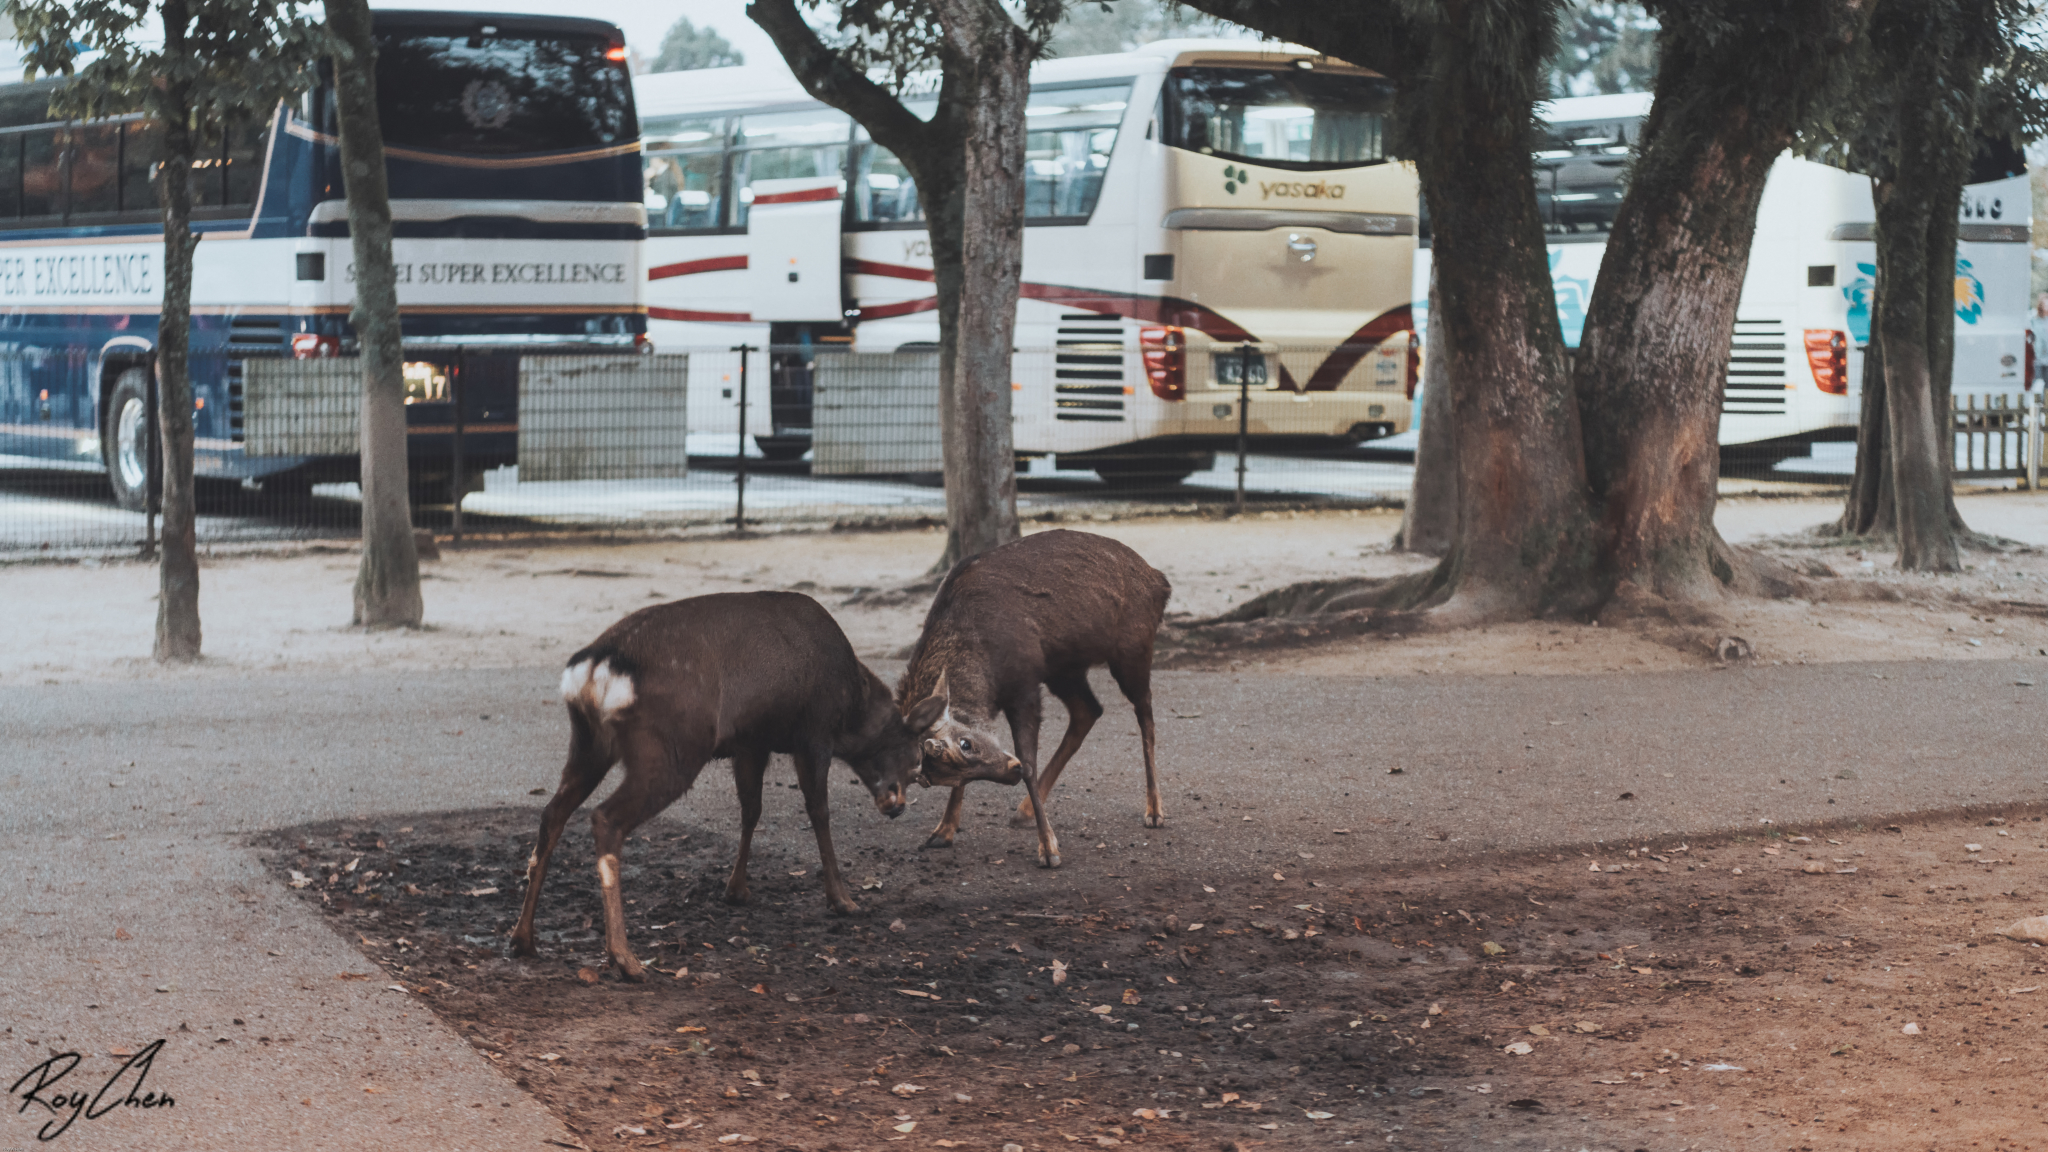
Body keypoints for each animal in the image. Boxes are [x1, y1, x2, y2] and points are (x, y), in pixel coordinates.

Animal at [512, 590, 991, 975]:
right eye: (915, 760)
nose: (895, 806)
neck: (849, 709)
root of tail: (594, 670)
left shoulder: (750, 743)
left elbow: (751, 809)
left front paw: (736, 889)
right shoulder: (811, 733)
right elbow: (818, 811)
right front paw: (843, 899)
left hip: (588, 744)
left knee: (553, 813)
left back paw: (523, 938)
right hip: (671, 748)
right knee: (605, 819)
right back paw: (625, 959)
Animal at [897, 528, 1171, 860]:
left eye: (965, 744)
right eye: (945, 776)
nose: (1009, 772)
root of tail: (1160, 582)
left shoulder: (1025, 684)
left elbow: (1029, 761)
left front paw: (1049, 847)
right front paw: (942, 831)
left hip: (1133, 649)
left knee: (1145, 713)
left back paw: (1154, 809)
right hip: (1064, 668)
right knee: (1089, 709)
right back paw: (1024, 810)